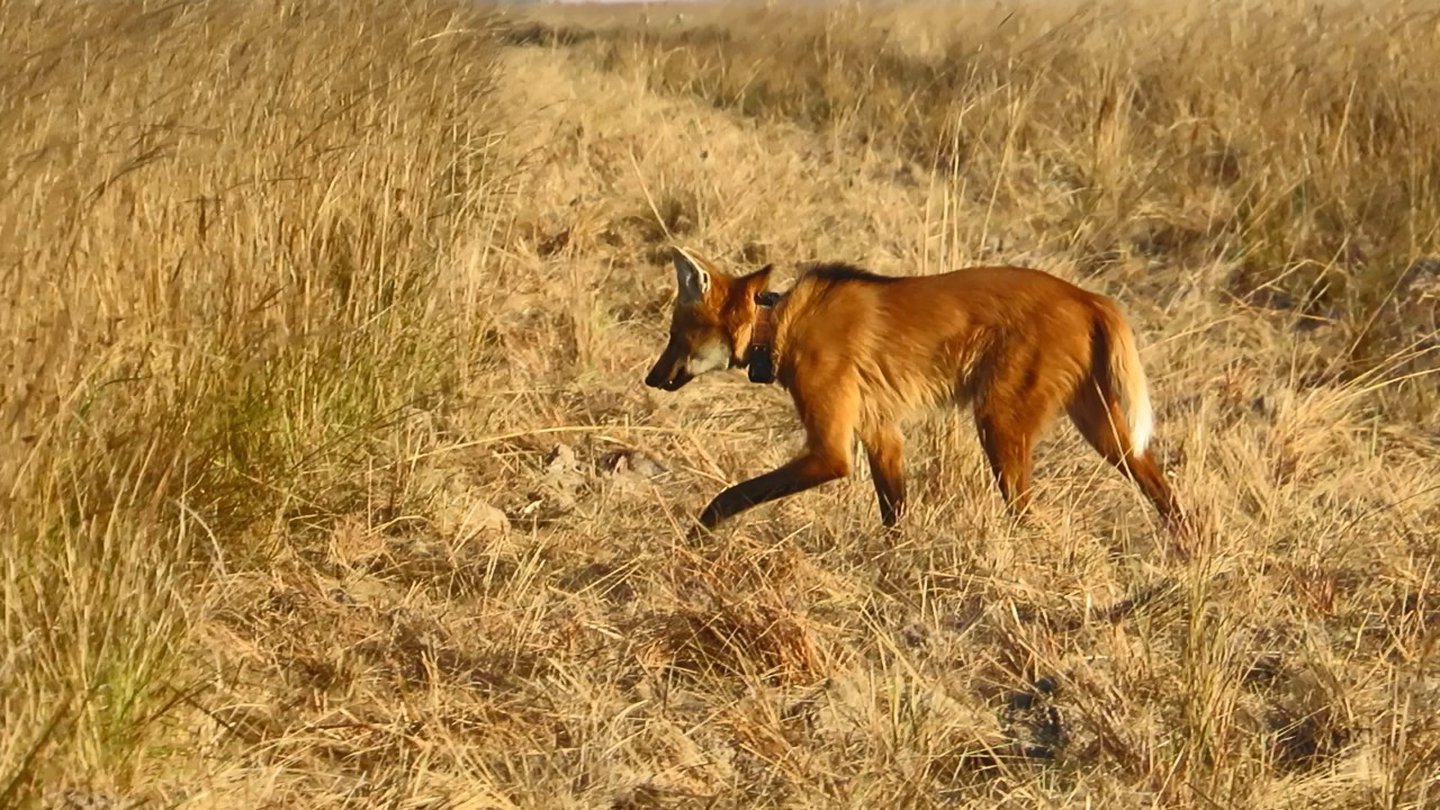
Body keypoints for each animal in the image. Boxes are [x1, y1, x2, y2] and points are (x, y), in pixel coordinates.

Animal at [648, 249, 1186, 533]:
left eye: (675, 335)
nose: (650, 379)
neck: (777, 324)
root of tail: (1087, 296)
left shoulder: (830, 451)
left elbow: (733, 493)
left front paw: (700, 531)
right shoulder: (880, 432)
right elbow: (894, 511)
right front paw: (896, 561)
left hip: (999, 422)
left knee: (1025, 509)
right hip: (1103, 429)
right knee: (1163, 488)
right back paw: (1185, 548)